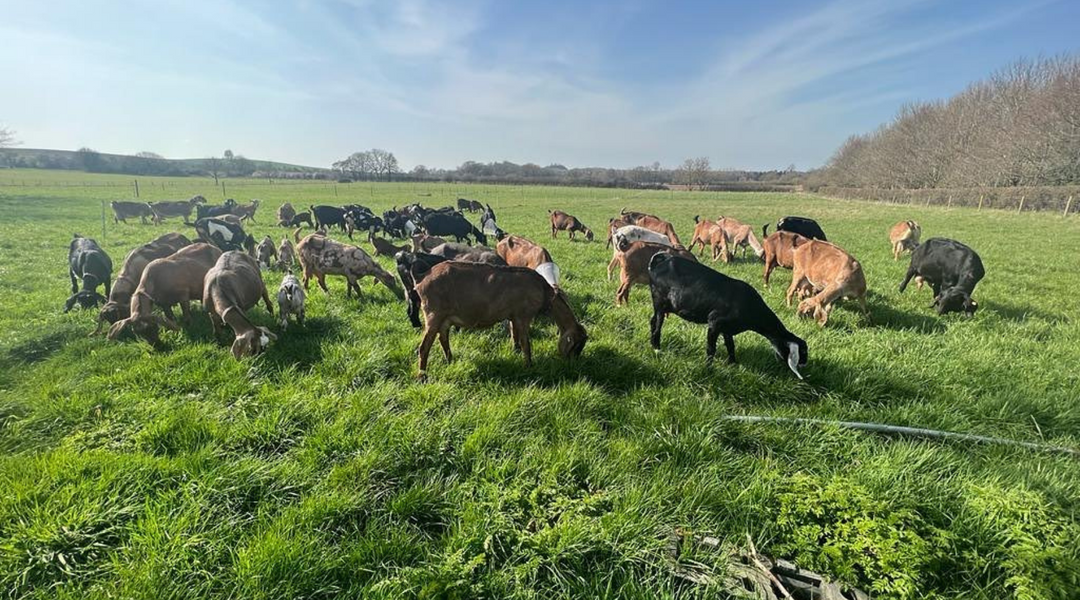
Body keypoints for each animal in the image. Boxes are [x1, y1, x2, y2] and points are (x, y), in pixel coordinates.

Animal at [643, 250, 807, 377]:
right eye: (803, 352)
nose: (804, 364)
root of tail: (659, 262)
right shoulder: (714, 322)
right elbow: (711, 348)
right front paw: (709, 369)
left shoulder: (727, 328)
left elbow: (730, 346)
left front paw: (733, 364)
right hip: (659, 301)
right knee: (657, 325)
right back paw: (657, 348)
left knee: (652, 321)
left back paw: (652, 344)